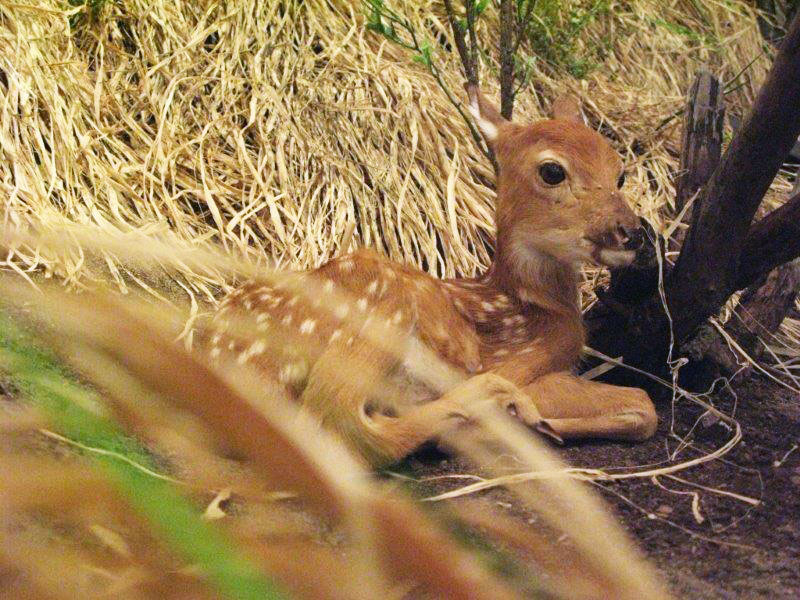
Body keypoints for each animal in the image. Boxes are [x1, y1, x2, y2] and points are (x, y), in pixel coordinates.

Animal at [207, 86, 658, 467]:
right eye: (552, 171)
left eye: (619, 173)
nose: (632, 232)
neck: (532, 307)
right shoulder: (522, 363)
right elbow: (644, 403)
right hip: (380, 304)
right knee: (343, 424)